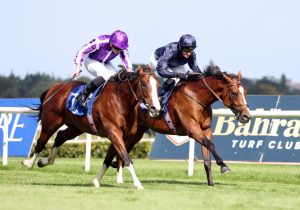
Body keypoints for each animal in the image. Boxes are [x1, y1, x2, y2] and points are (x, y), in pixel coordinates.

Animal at [22, 65, 161, 189]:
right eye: (144, 84)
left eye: (158, 86)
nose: (156, 108)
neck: (120, 100)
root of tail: (55, 87)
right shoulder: (114, 132)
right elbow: (126, 157)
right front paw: (138, 184)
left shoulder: (122, 135)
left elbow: (108, 159)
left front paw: (96, 181)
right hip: (50, 123)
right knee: (41, 142)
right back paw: (29, 163)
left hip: (76, 127)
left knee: (60, 137)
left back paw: (45, 161)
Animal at [103, 65, 251, 185]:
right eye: (234, 93)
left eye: (245, 92)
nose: (246, 116)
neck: (197, 97)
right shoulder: (192, 129)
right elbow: (210, 144)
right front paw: (224, 166)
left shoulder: (206, 130)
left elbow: (207, 157)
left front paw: (211, 183)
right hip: (129, 131)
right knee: (119, 149)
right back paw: (119, 178)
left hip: (137, 133)